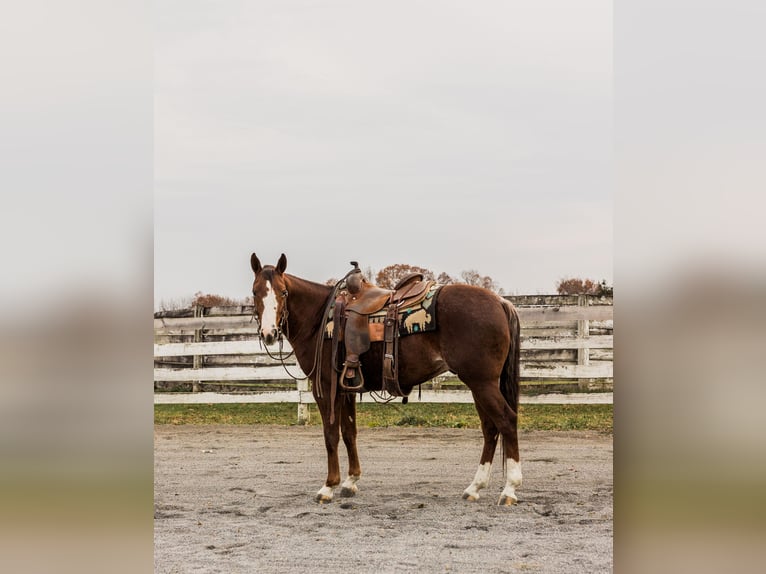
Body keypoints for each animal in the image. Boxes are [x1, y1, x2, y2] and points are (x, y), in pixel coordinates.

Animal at [249, 254, 524, 506]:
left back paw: (509, 489)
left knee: (506, 421)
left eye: (283, 292)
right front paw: (351, 481)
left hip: (482, 383)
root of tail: (500, 302)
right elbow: (349, 432)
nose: (269, 333)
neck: (319, 320)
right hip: (479, 385)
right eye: (254, 292)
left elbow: (331, 434)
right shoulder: (347, 389)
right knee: (490, 429)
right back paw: (474, 487)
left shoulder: (326, 388)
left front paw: (328, 486)